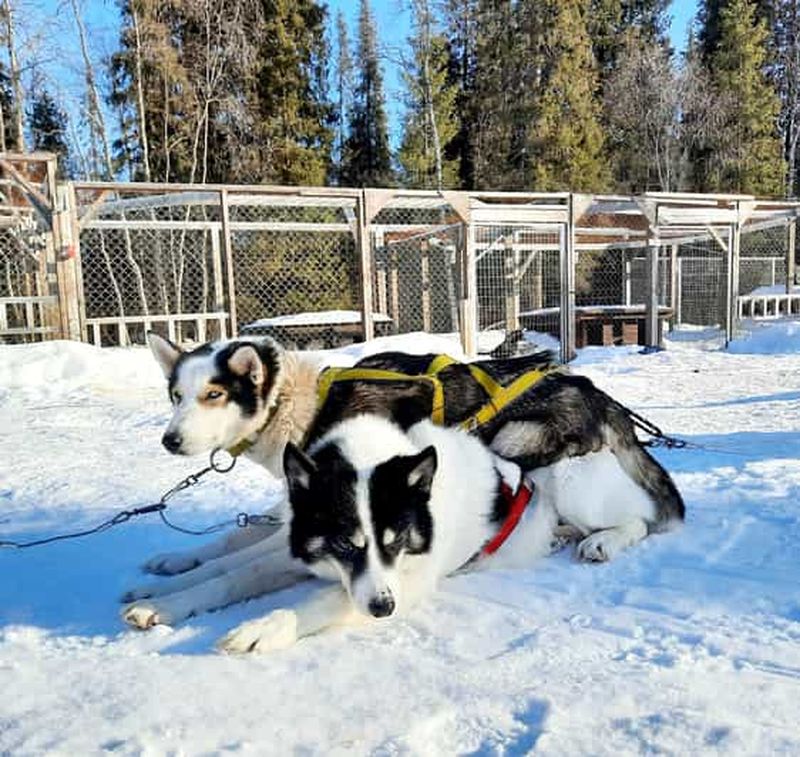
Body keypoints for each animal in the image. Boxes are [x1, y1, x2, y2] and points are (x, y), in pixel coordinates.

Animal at [218, 413, 660, 653]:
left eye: (397, 539)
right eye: (345, 542)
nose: (384, 608)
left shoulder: (408, 581)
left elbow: (326, 601)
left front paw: (264, 629)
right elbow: (241, 572)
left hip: (567, 482)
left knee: (642, 520)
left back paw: (602, 541)